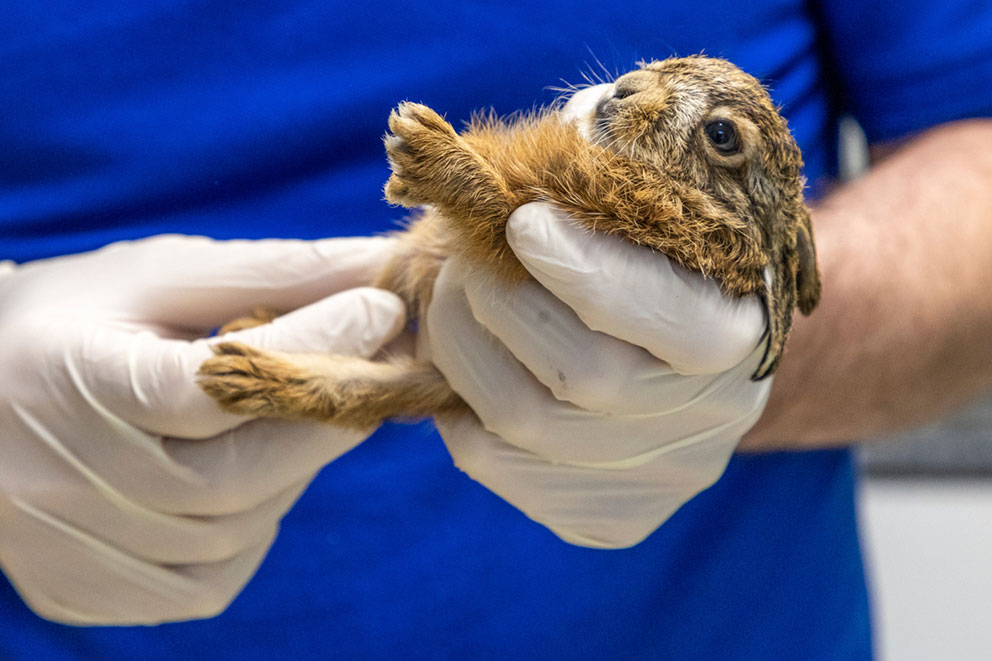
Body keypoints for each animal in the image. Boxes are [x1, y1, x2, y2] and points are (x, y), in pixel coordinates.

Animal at [197, 55, 821, 430]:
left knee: (362, 387)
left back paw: (242, 373)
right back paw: (246, 332)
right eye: (671, 63)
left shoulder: (546, 228)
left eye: (722, 135)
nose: (624, 89)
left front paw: (426, 149)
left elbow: (496, 212)